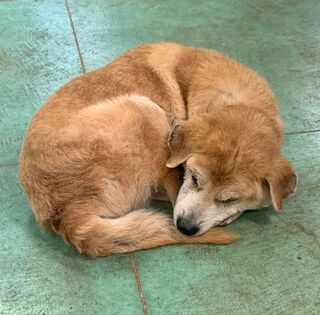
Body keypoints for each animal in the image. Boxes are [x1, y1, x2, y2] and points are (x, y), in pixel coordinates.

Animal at [19, 42, 296, 256]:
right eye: (195, 178)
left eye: (230, 199)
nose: (185, 228)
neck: (237, 98)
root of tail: (65, 214)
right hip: (145, 110)